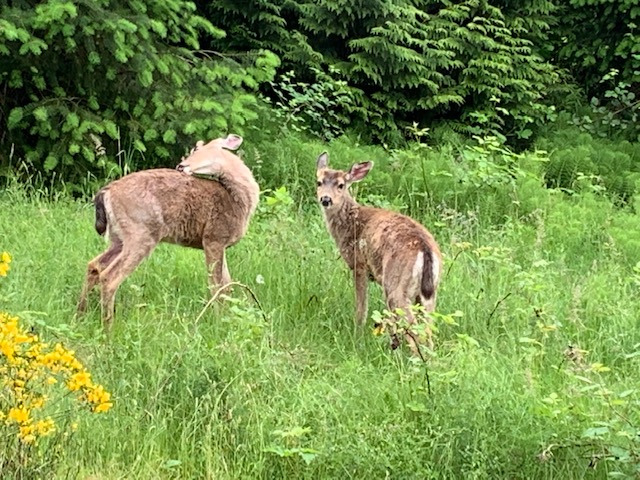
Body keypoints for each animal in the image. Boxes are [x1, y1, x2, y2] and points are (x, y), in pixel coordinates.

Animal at [78, 135, 260, 330]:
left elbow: (227, 284)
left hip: (118, 238)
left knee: (93, 265)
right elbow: (217, 285)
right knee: (109, 277)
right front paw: (219, 322)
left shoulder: (220, 243)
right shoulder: (213, 238)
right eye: (195, 148)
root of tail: (106, 192)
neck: (240, 201)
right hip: (141, 234)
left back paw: (80, 315)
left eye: (204, 148)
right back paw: (109, 328)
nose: (181, 165)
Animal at [316, 152, 444, 354]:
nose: (326, 199)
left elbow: (362, 307)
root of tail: (425, 249)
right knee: (428, 329)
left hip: (395, 285)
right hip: (430, 291)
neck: (352, 223)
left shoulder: (359, 264)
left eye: (341, 185)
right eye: (319, 182)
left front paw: (358, 334)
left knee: (414, 328)